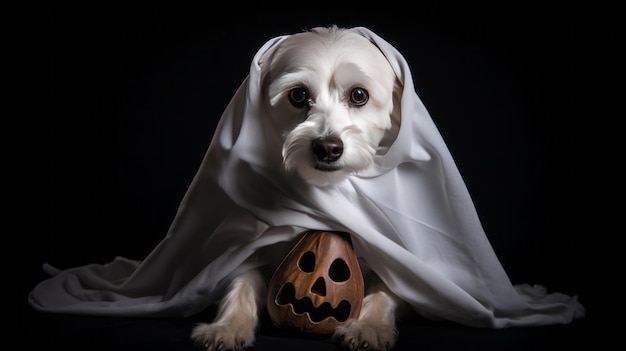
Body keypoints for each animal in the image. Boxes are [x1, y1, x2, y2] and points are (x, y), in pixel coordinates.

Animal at [190, 26, 402, 351]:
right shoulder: (254, 249)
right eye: (299, 94)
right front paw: (227, 326)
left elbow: (385, 290)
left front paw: (369, 327)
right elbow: (242, 282)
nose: (327, 147)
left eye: (359, 95)